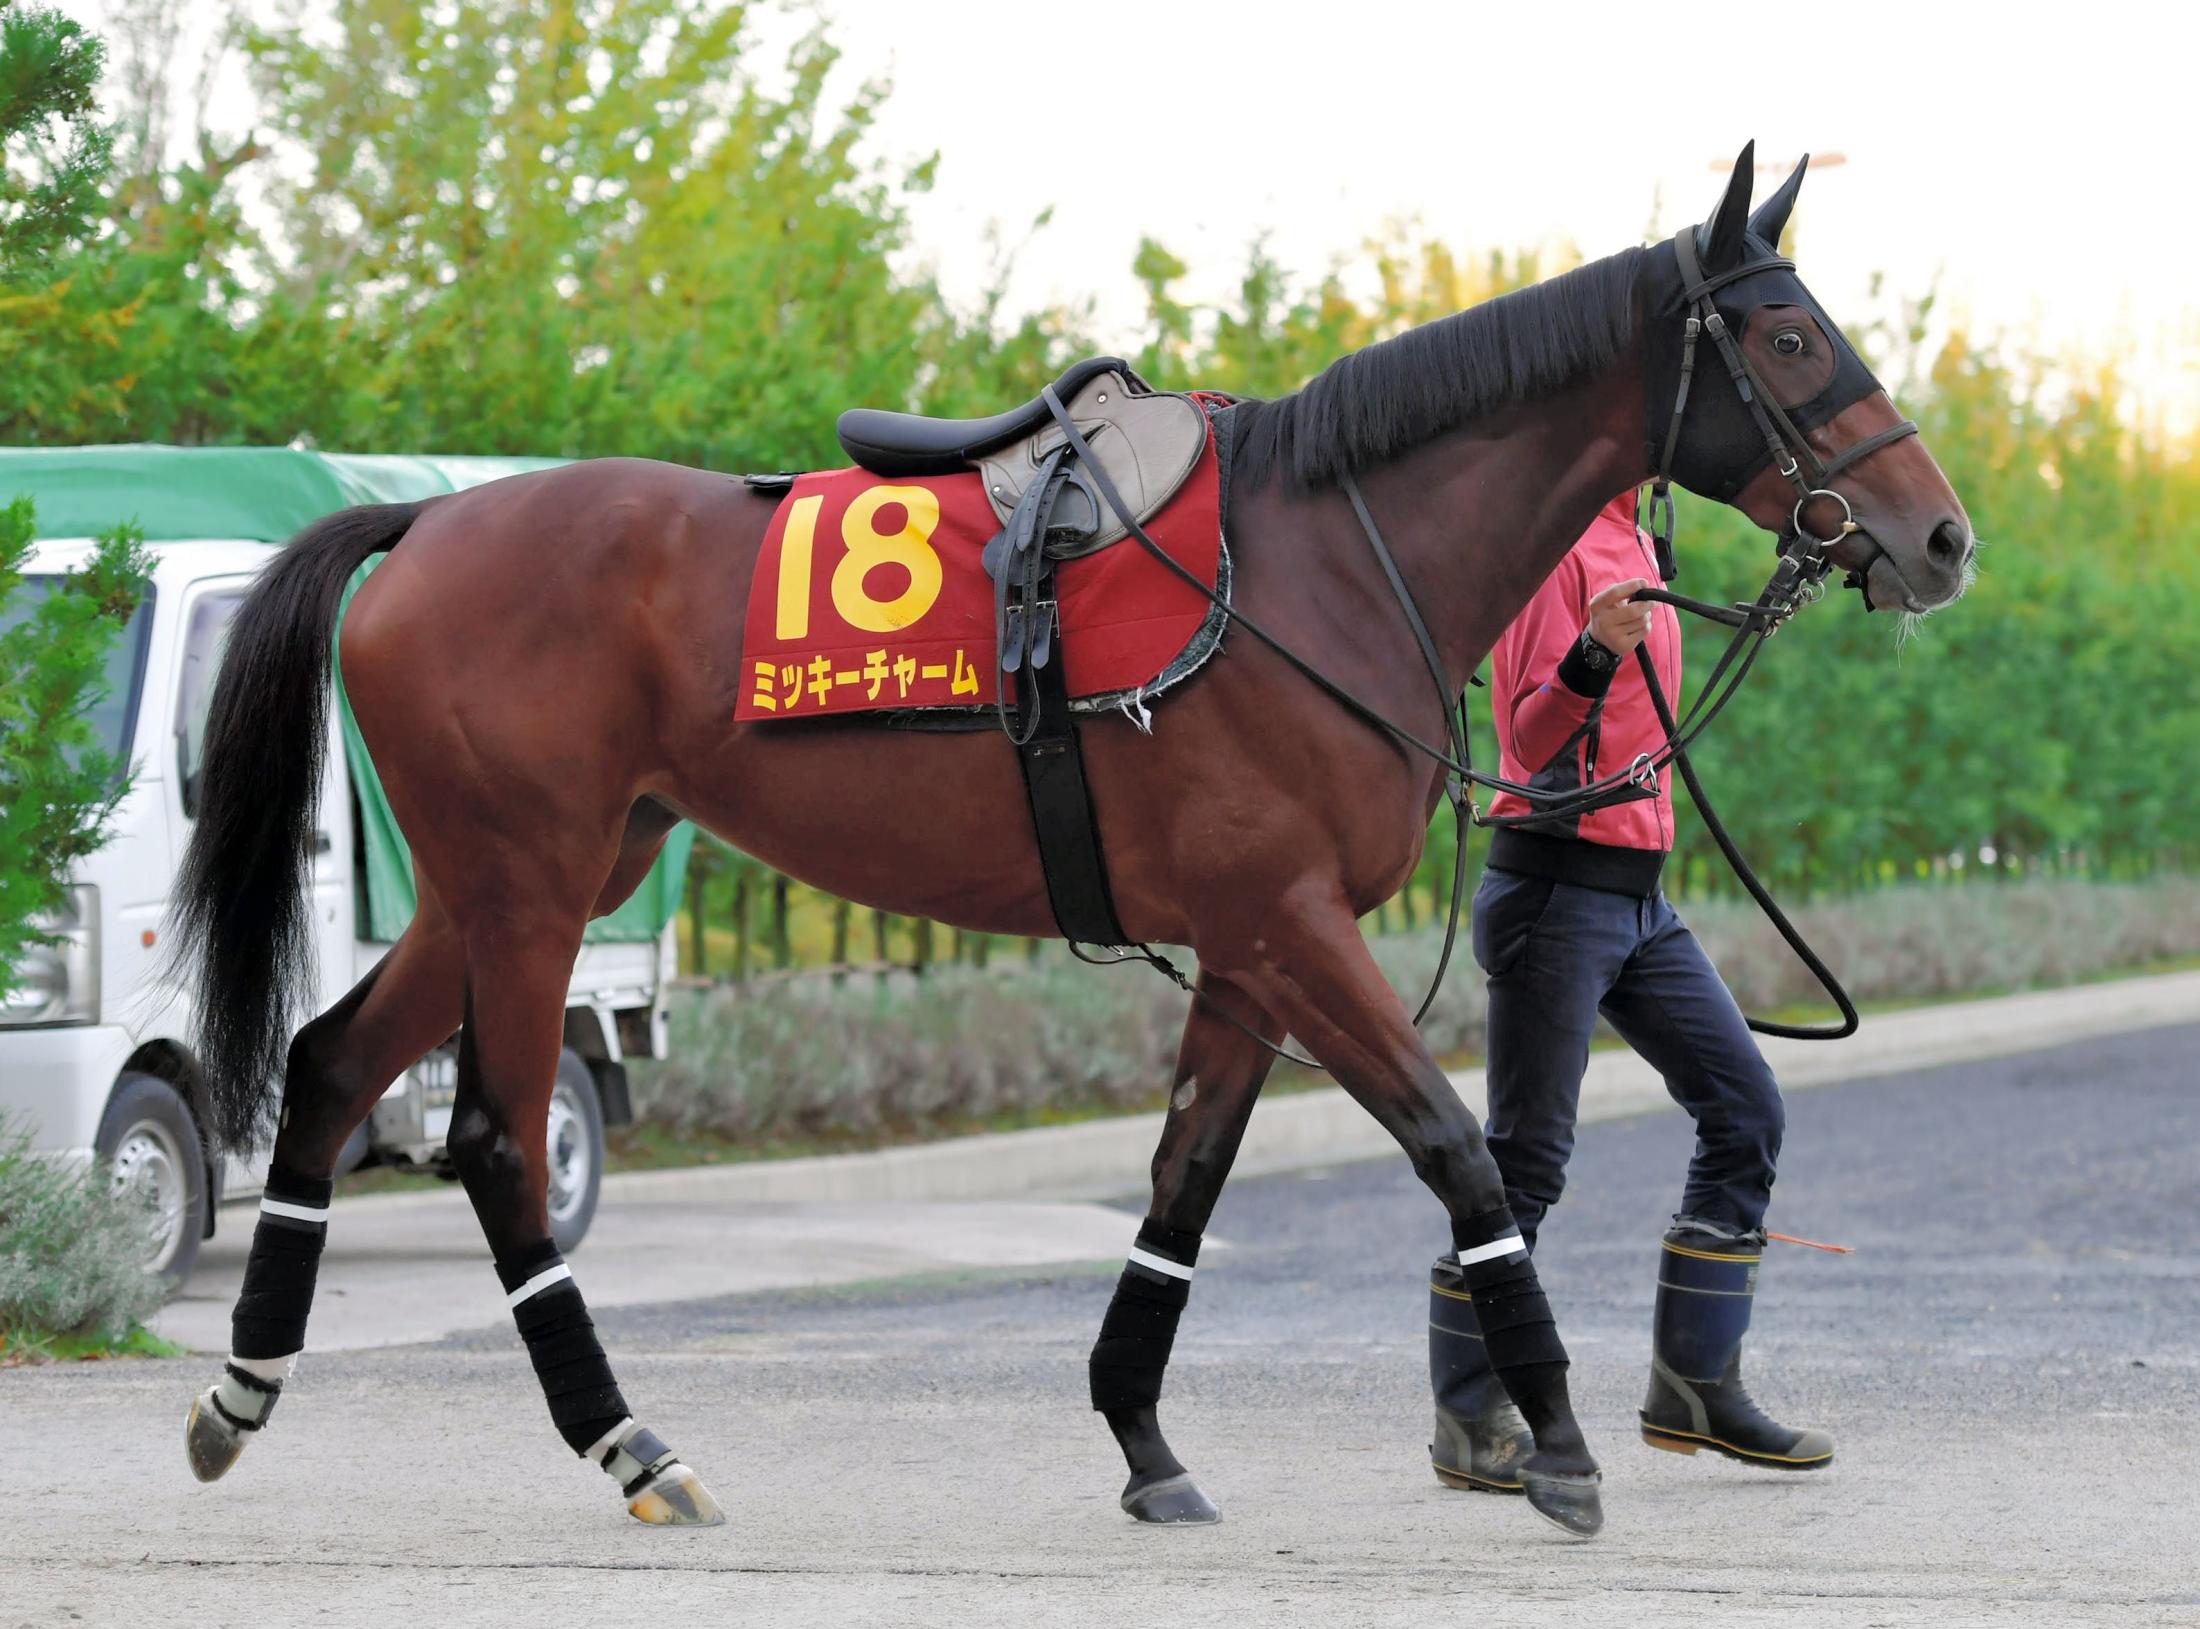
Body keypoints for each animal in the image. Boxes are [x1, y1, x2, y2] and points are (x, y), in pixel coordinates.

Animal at [162, 149, 1971, 1540]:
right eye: (1790, 334)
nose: (1939, 536)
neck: (1322, 554)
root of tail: (427, 519)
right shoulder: (1292, 921)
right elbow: (1459, 1152)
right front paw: (1564, 1444)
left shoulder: (1247, 947)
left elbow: (1182, 1183)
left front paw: (1145, 1438)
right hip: (531, 887)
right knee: (496, 1142)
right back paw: (631, 1438)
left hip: (521, 876)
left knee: (333, 1062)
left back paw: (243, 1384)